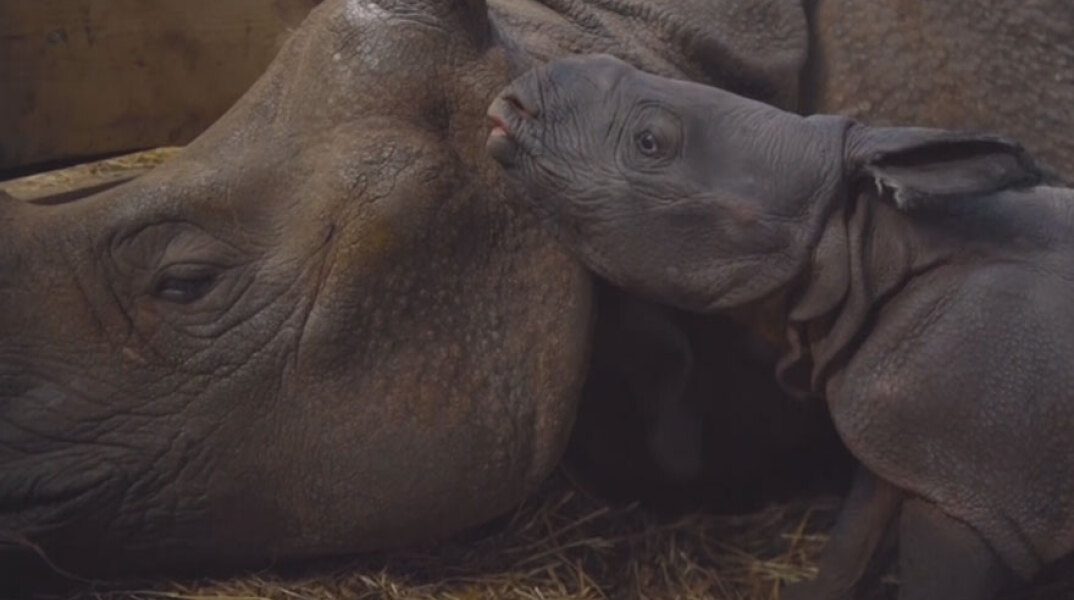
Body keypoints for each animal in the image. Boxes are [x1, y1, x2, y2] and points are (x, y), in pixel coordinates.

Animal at [491, 53, 1074, 596]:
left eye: (649, 142)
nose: (514, 103)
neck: (866, 243)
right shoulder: (913, 434)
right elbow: (857, 527)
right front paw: (809, 590)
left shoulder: (975, 494)